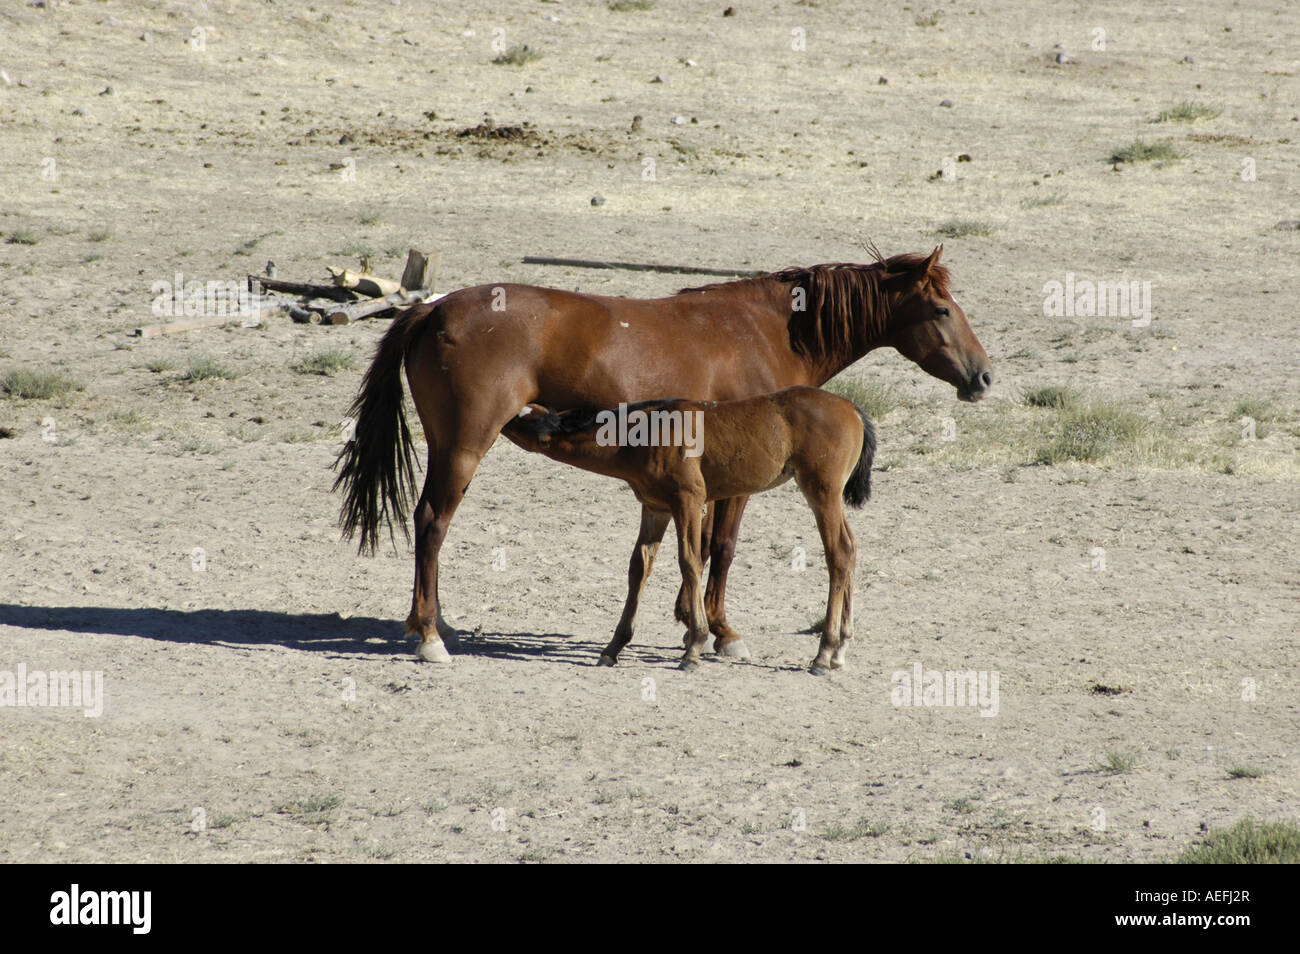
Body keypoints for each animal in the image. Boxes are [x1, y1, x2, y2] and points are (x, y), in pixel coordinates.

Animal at [501, 389, 878, 681]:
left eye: (522, 419)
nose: (500, 416)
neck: (644, 435)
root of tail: (853, 410)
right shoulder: (655, 508)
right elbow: (639, 568)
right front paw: (613, 647)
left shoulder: (689, 501)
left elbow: (690, 561)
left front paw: (693, 647)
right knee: (852, 548)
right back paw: (840, 649)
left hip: (821, 491)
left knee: (839, 552)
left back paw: (823, 654)